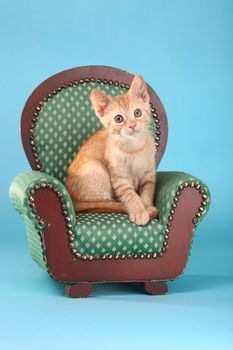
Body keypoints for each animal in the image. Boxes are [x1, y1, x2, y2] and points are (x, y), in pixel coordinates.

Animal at [65, 75, 158, 226]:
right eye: (118, 119)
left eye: (137, 113)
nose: (132, 125)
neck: (134, 149)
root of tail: (73, 201)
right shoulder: (119, 179)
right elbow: (130, 195)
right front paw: (140, 211)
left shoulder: (149, 174)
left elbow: (147, 192)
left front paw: (146, 207)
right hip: (96, 168)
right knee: (105, 203)